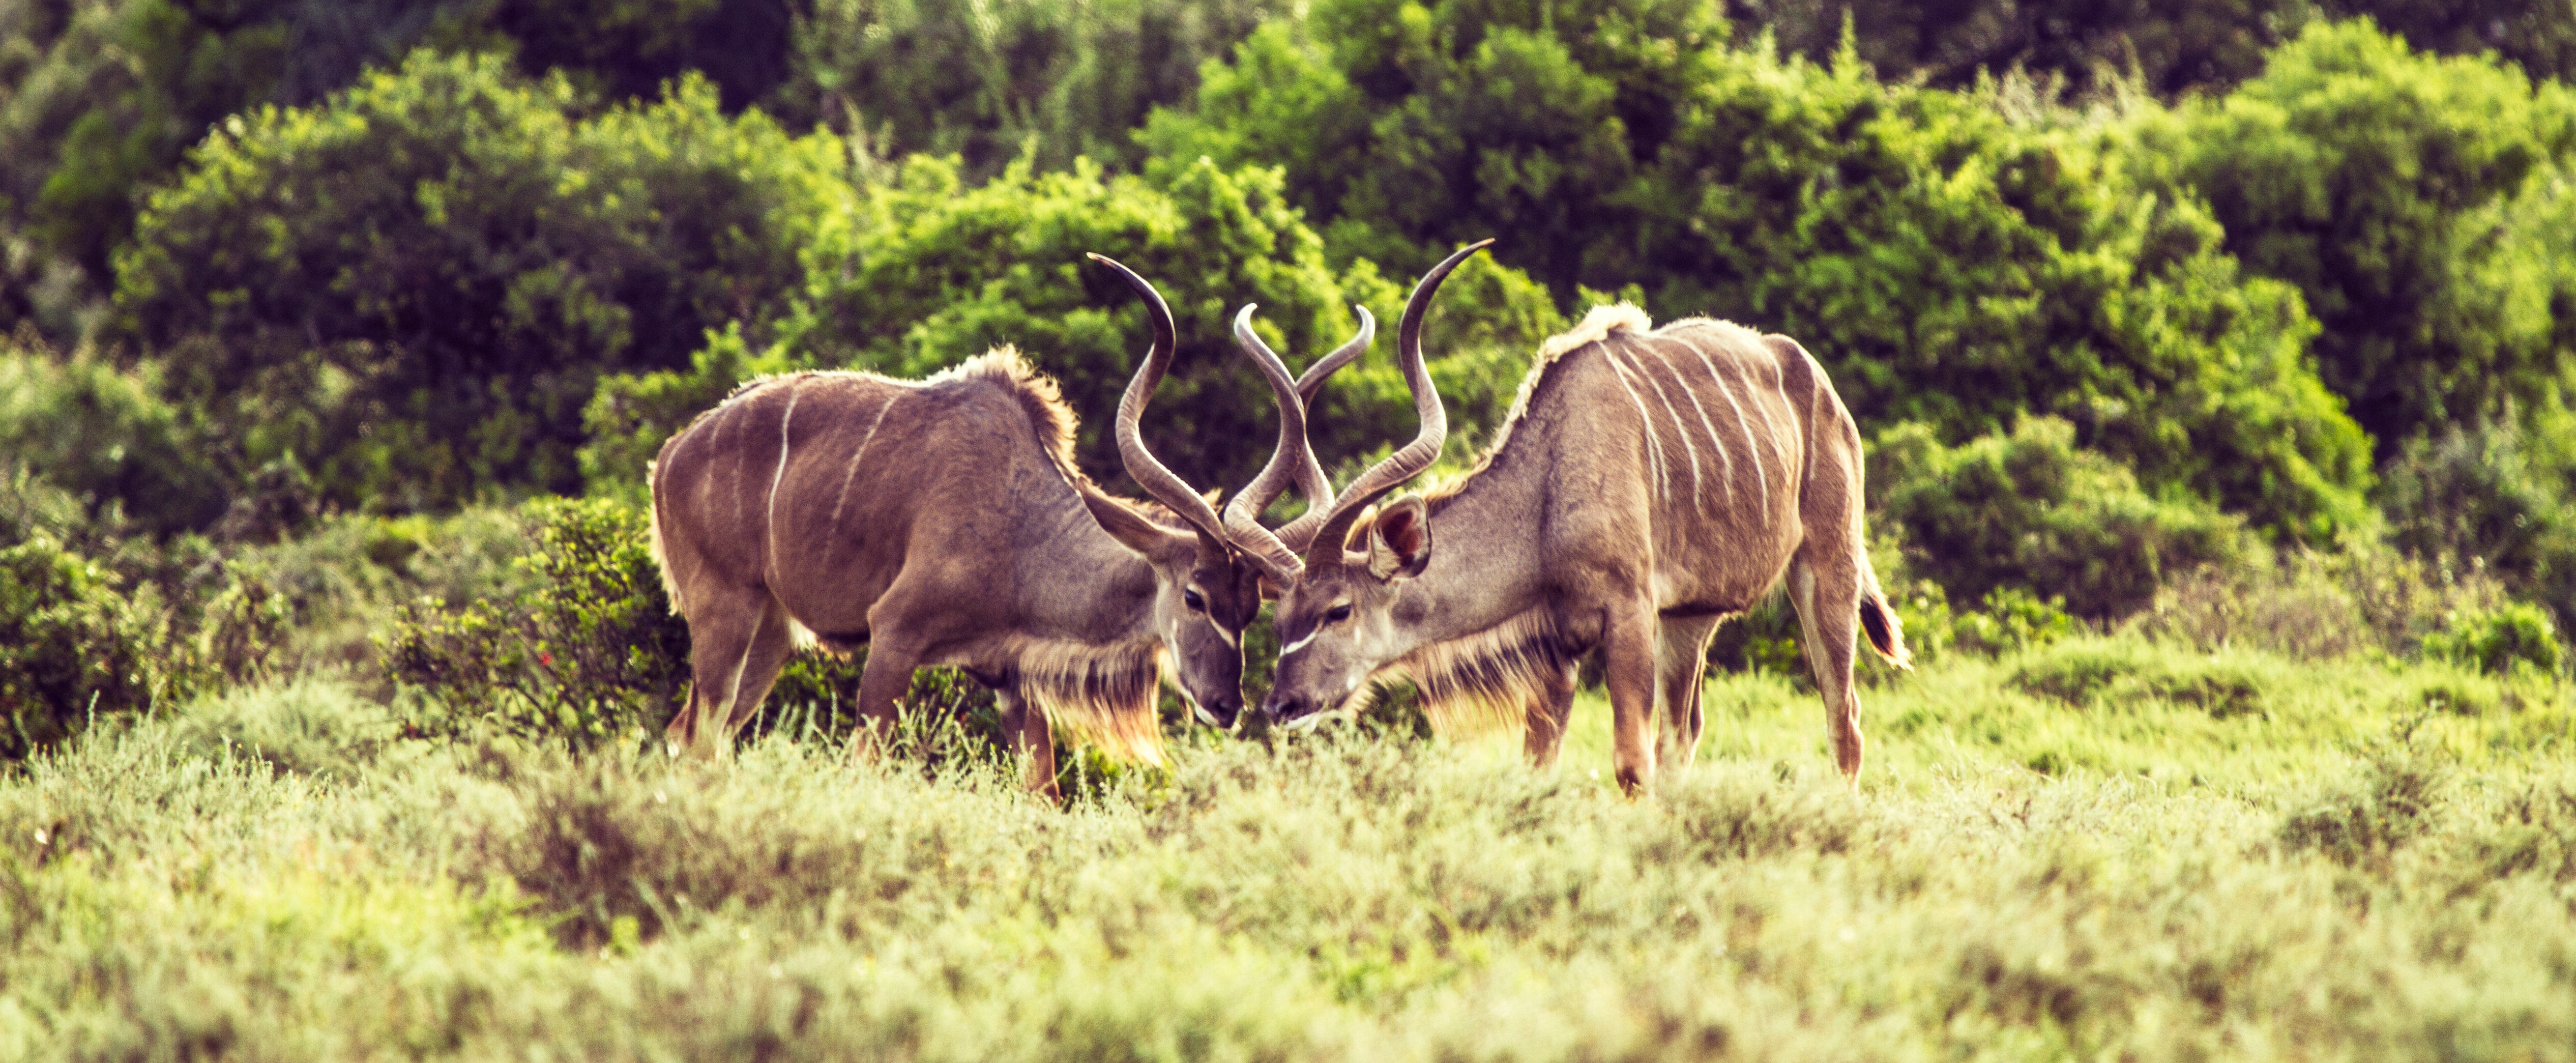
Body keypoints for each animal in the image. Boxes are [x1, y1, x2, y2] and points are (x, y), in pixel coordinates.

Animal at [649, 252, 1370, 792]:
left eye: (1250, 609)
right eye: (1194, 597)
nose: (1226, 705)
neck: (1022, 533)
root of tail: (672, 454)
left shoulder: (1010, 679)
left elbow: (1043, 790)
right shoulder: (894, 635)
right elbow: (866, 764)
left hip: (771, 631)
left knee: (694, 733)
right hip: (725, 611)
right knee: (697, 735)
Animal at [1246, 240, 1916, 787]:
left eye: (1339, 609)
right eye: (1278, 618)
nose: (1282, 704)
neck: (1548, 489)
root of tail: (1821, 386)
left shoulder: (1628, 614)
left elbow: (1630, 766)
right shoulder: (1558, 645)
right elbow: (1542, 764)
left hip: (1827, 571)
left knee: (1845, 721)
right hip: (1690, 618)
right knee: (1685, 734)